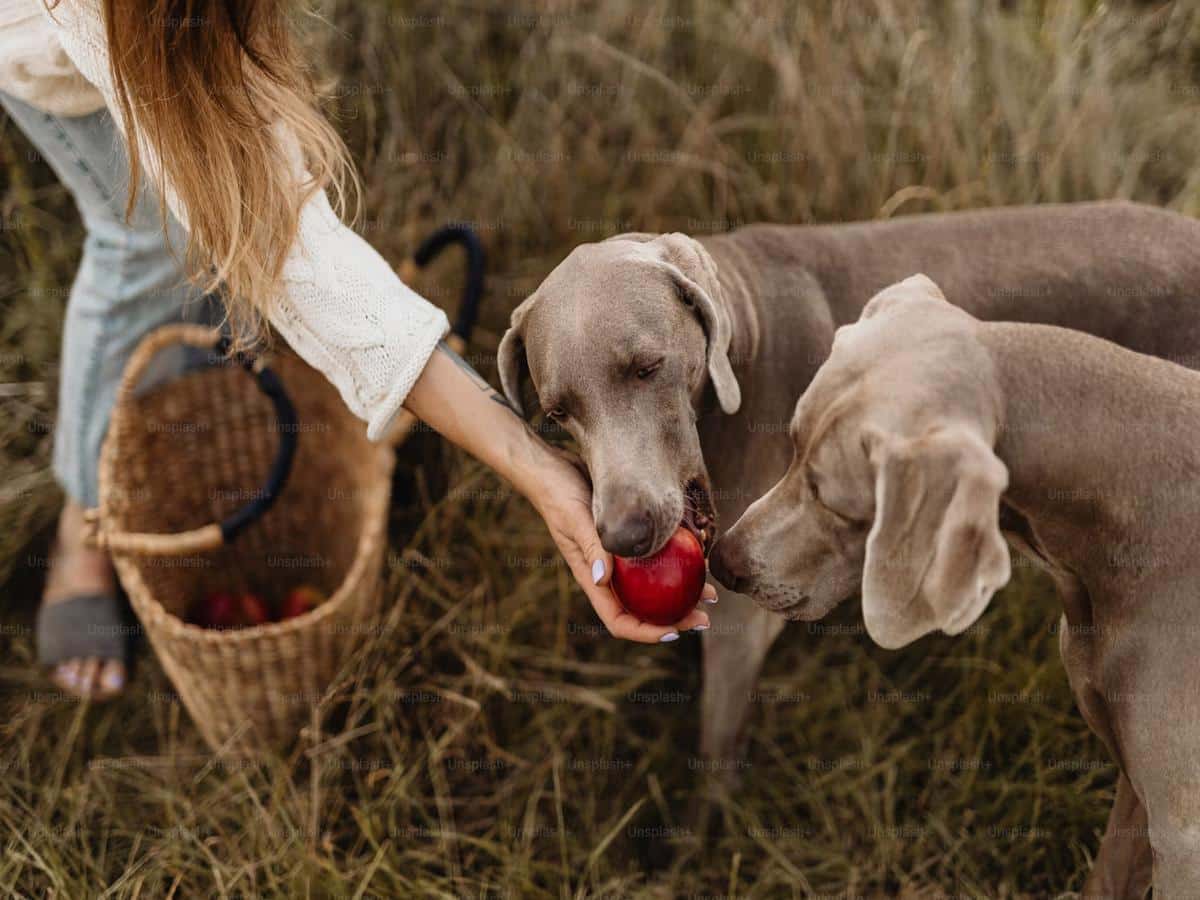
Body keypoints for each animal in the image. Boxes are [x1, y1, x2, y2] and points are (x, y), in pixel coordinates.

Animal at [496, 200, 1200, 772]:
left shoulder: (741, 622)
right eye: (557, 414)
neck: (747, 336)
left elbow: (716, 753)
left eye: (647, 367)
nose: (626, 535)